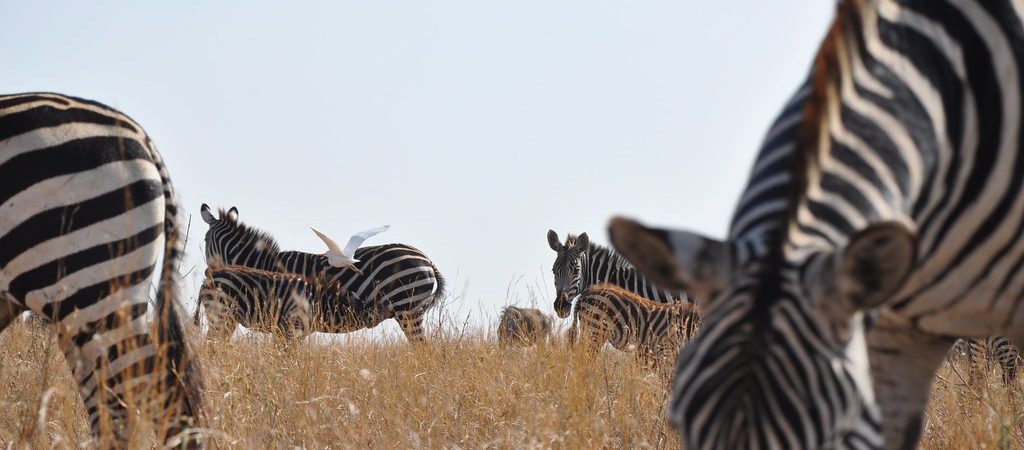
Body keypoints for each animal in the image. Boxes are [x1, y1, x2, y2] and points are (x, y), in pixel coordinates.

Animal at [198, 204, 445, 342]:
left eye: (205, 240)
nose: (208, 273)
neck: (262, 263)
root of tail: (427, 260)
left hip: (407, 308)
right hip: (411, 310)